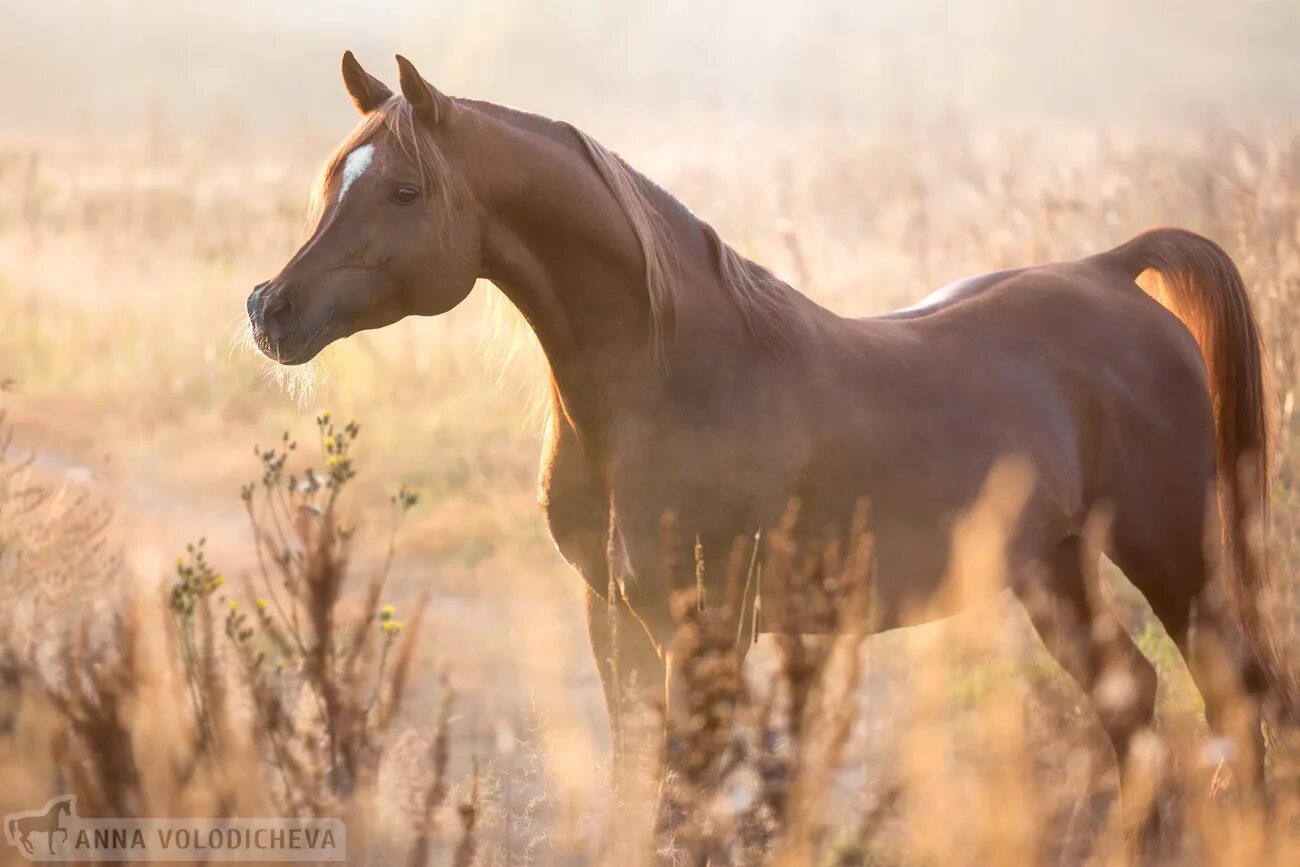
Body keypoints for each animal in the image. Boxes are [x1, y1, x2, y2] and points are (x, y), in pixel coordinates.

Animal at [248, 52, 1294, 816]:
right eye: (335, 178)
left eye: (405, 192)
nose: (269, 306)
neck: (670, 372)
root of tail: (1114, 271)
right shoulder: (614, 621)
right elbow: (637, 789)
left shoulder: (703, 626)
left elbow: (684, 798)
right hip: (1056, 566)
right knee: (1136, 706)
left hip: (1172, 555)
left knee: (1229, 696)